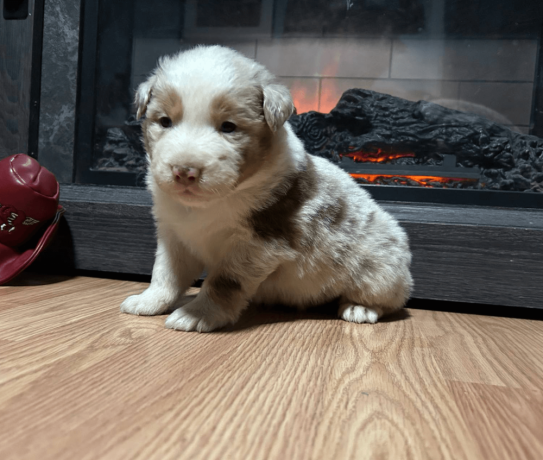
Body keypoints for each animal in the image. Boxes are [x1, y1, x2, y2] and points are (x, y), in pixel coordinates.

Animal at [121, 45, 414, 330]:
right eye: (165, 121)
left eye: (228, 127)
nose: (184, 172)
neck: (211, 203)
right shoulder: (174, 234)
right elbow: (165, 273)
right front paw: (148, 301)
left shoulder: (257, 245)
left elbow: (223, 282)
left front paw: (197, 314)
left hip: (380, 267)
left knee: (389, 299)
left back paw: (359, 308)